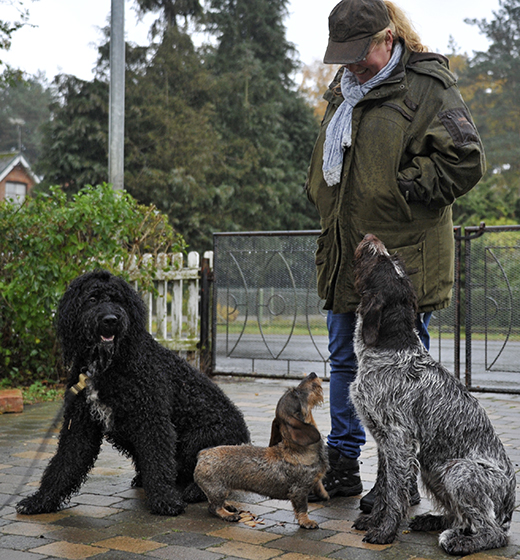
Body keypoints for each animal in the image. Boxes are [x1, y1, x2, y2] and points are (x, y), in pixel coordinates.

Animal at [17, 270, 251, 516]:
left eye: (118, 300)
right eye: (92, 299)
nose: (111, 319)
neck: (109, 364)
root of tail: (244, 436)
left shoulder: (152, 420)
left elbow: (158, 461)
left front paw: (165, 500)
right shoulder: (80, 424)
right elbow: (64, 463)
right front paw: (41, 500)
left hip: (199, 439)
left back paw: (194, 491)